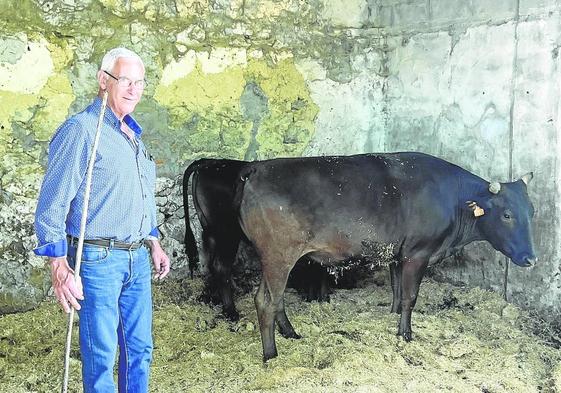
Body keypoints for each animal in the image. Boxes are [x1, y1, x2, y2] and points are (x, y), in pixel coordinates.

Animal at [234, 152, 536, 360]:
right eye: (507, 214)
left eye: (532, 211)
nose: (531, 259)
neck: (453, 199)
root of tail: (258, 167)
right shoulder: (417, 254)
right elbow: (410, 297)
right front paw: (406, 334)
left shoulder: (397, 253)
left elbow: (396, 290)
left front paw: (393, 315)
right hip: (279, 255)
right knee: (267, 301)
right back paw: (271, 354)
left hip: (273, 258)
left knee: (272, 298)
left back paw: (291, 333)